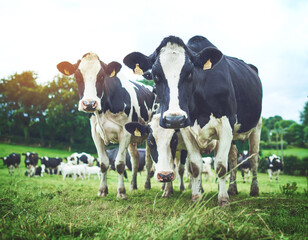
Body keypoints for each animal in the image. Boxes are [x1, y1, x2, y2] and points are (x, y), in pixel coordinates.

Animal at [56, 52, 155, 199]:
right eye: (77, 76)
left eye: (102, 76)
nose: (89, 104)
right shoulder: (95, 133)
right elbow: (103, 163)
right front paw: (102, 190)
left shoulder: (124, 133)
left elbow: (120, 164)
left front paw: (121, 192)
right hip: (133, 138)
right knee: (135, 161)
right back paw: (133, 186)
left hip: (148, 135)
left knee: (148, 162)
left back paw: (147, 185)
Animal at [123, 35, 262, 206]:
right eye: (155, 75)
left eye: (190, 73)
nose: (173, 119)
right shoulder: (187, 130)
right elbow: (195, 167)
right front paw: (196, 198)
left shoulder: (225, 126)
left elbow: (221, 166)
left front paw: (223, 200)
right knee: (234, 157)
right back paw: (232, 189)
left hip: (256, 127)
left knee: (253, 158)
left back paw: (253, 190)